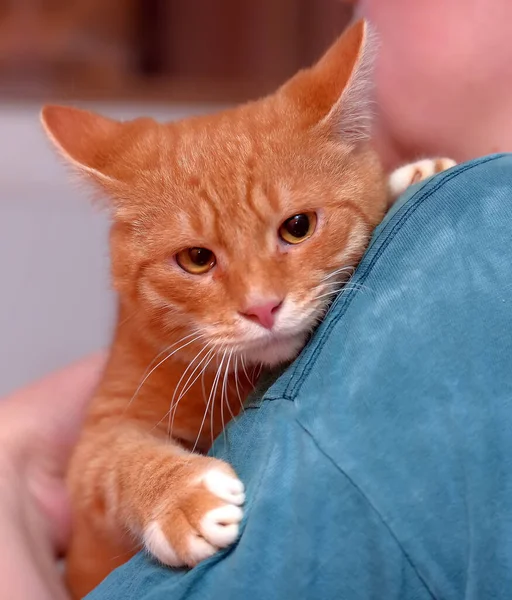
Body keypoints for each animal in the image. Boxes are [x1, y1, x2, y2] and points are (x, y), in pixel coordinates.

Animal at [41, 19, 456, 600]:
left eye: (298, 227)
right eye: (196, 259)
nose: (262, 307)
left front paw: (409, 177)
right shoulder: (98, 434)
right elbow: (115, 458)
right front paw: (184, 499)